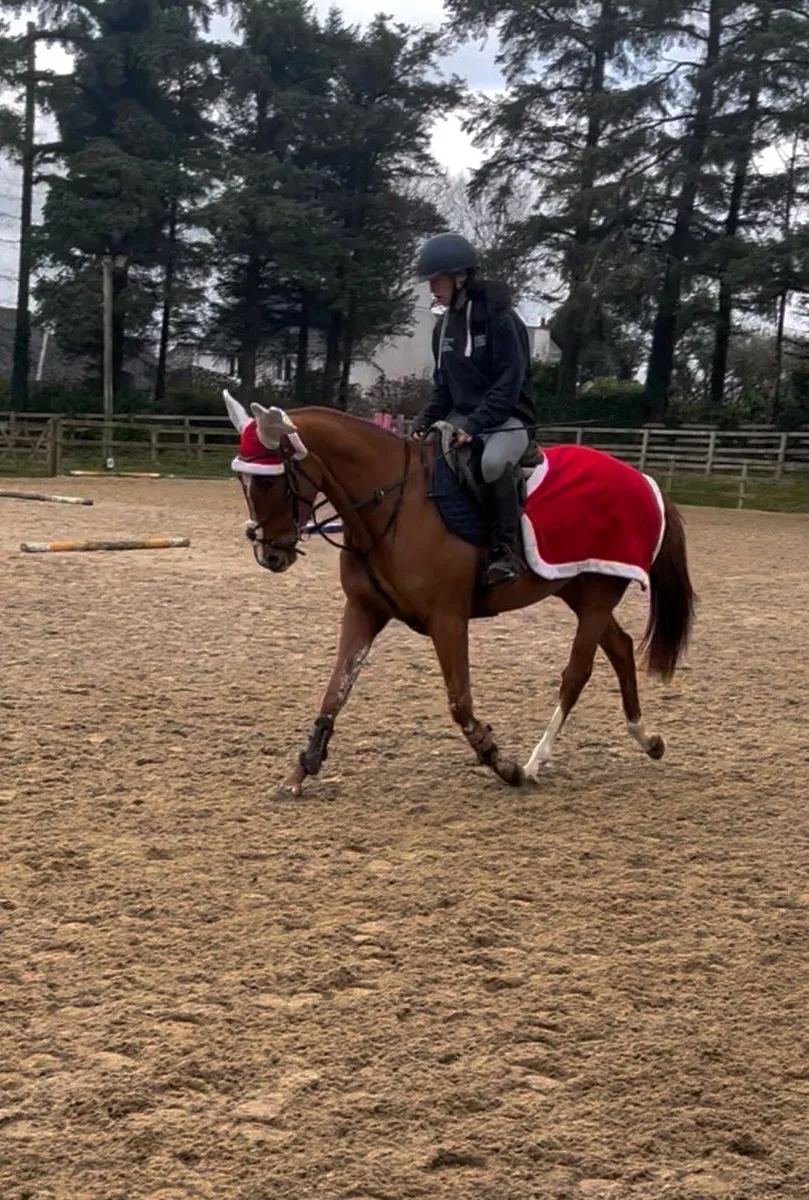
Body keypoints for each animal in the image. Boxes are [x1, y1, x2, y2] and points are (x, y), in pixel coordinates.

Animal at [224, 393, 695, 798]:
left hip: (598, 593)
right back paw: (647, 739)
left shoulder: (447, 619)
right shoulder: (364, 611)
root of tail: (644, 480)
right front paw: (299, 772)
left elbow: (460, 703)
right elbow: (334, 692)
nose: (269, 553)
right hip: (578, 589)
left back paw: (535, 763)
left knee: (577, 673)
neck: (393, 503)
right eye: (243, 481)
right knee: (621, 648)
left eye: (267, 483)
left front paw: (503, 764)